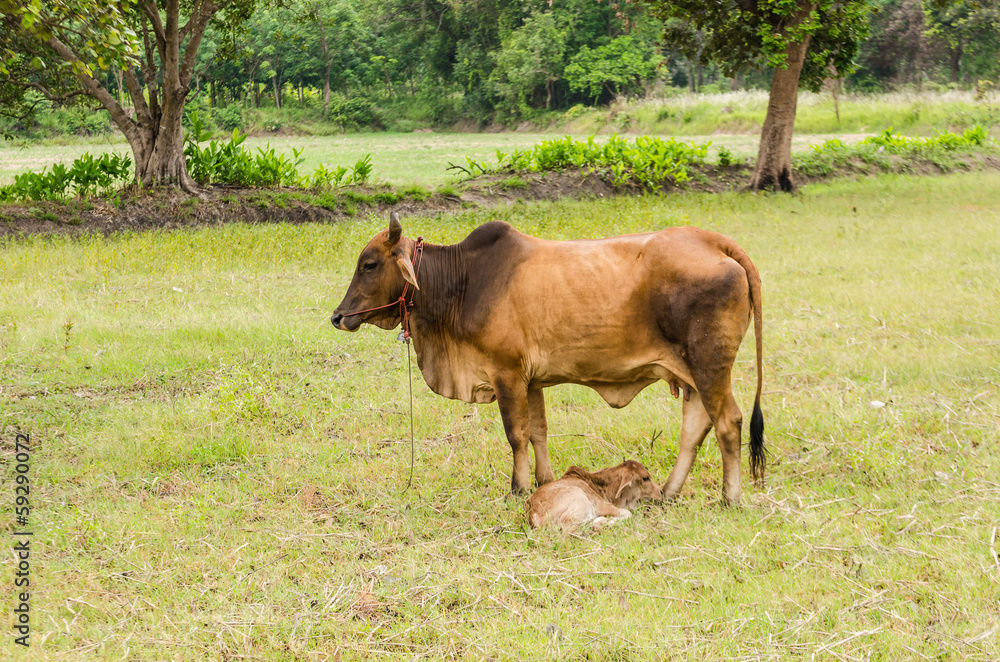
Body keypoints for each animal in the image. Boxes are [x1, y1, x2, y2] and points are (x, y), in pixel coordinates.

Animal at [331, 213, 764, 505]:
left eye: (369, 264)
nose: (338, 316)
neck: (463, 282)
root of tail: (713, 242)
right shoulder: (532, 381)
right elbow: (538, 431)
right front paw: (544, 479)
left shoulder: (506, 374)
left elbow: (516, 434)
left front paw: (518, 488)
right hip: (691, 374)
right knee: (695, 427)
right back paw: (670, 491)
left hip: (709, 367)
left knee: (728, 422)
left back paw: (730, 497)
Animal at [526, 460, 663, 530]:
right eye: (645, 478)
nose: (660, 492)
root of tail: (533, 514)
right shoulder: (602, 505)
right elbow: (628, 513)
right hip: (580, 498)